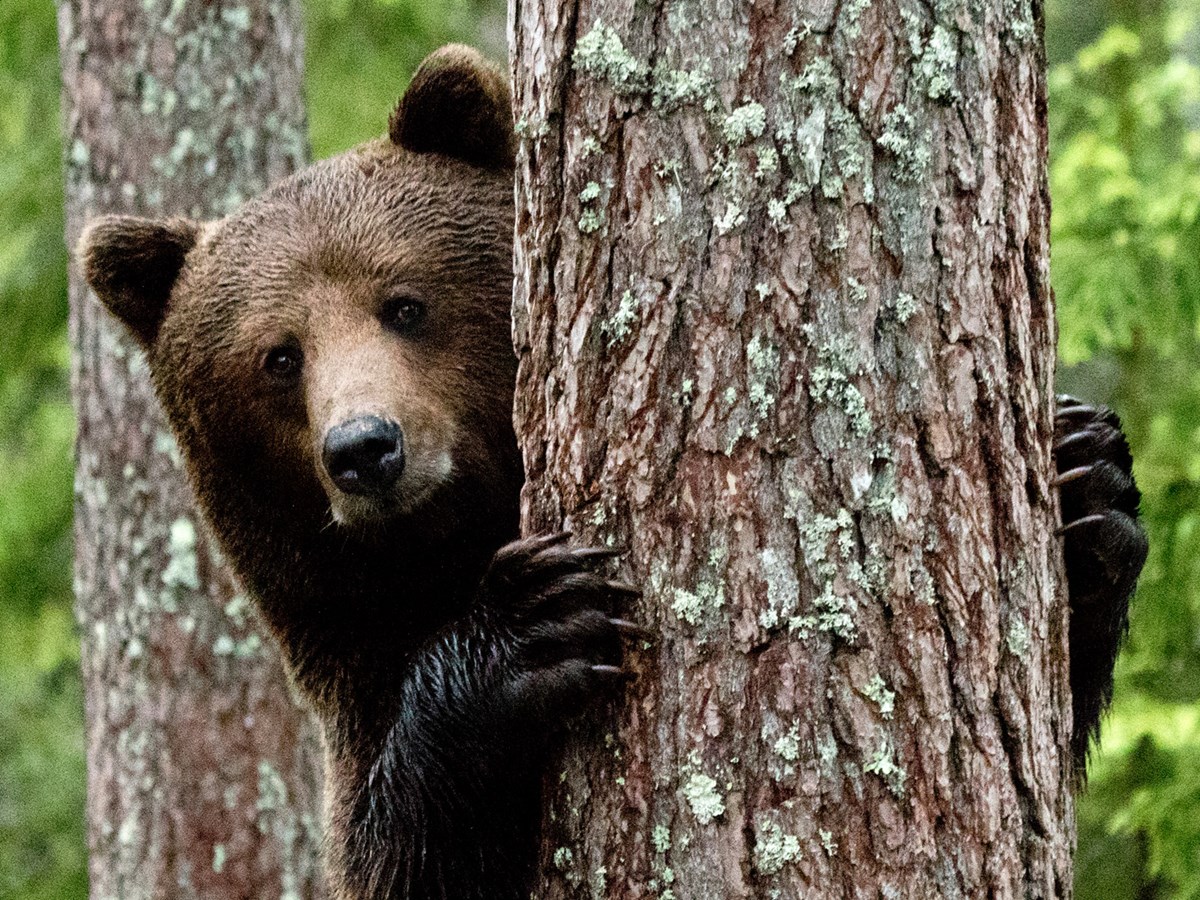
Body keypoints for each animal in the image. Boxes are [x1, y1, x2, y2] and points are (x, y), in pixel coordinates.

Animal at [79, 45, 1147, 900]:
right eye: (278, 357)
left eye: (404, 302)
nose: (365, 447)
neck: (454, 543)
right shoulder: (359, 675)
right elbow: (404, 848)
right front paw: (534, 620)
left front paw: (1088, 478)